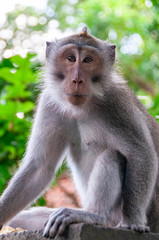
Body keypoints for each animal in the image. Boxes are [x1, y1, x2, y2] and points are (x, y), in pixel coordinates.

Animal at [0, 27, 159, 238]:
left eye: (88, 60)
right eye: (70, 58)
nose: (76, 79)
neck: (82, 107)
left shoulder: (117, 103)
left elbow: (140, 153)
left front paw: (132, 221)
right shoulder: (49, 103)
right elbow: (40, 167)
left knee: (113, 156)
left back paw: (95, 216)